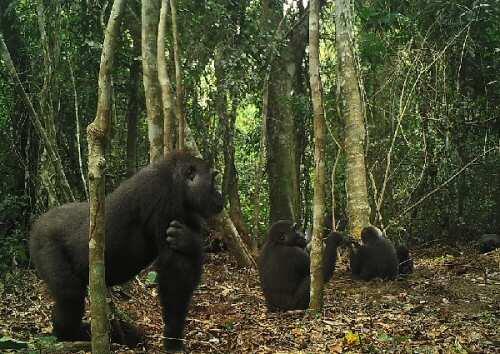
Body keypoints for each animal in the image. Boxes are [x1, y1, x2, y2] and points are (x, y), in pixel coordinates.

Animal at [28, 151, 222, 352]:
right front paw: (173, 338)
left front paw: (189, 241)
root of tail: (37, 222)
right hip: (43, 241)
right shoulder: (164, 197)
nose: (219, 196)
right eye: (213, 180)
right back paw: (69, 333)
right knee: (69, 294)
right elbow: (175, 274)